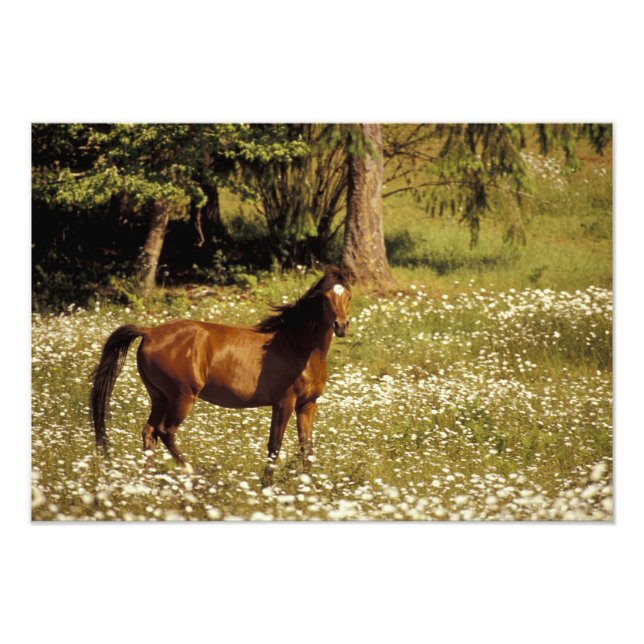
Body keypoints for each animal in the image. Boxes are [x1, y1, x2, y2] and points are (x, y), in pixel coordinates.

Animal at [89, 266, 351, 480]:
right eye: (325, 297)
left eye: (348, 295)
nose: (341, 326)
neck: (297, 347)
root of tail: (149, 331)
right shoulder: (284, 403)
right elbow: (274, 445)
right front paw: (266, 486)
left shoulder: (308, 405)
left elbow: (307, 448)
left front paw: (309, 488)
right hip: (182, 397)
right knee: (166, 432)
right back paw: (189, 472)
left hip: (160, 397)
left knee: (149, 433)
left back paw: (148, 481)